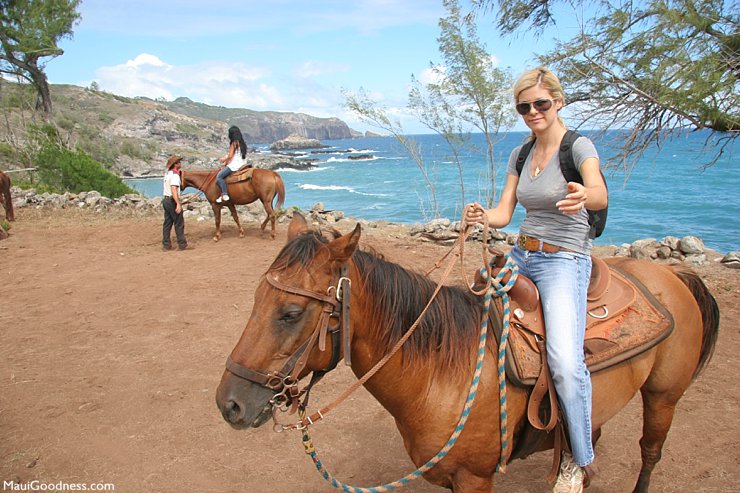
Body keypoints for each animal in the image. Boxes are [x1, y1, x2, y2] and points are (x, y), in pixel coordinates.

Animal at [217, 213, 720, 492]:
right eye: (257, 298)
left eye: (291, 312)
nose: (229, 405)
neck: (441, 375)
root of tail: (672, 274)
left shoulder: (476, 479)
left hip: (663, 396)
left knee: (650, 452)